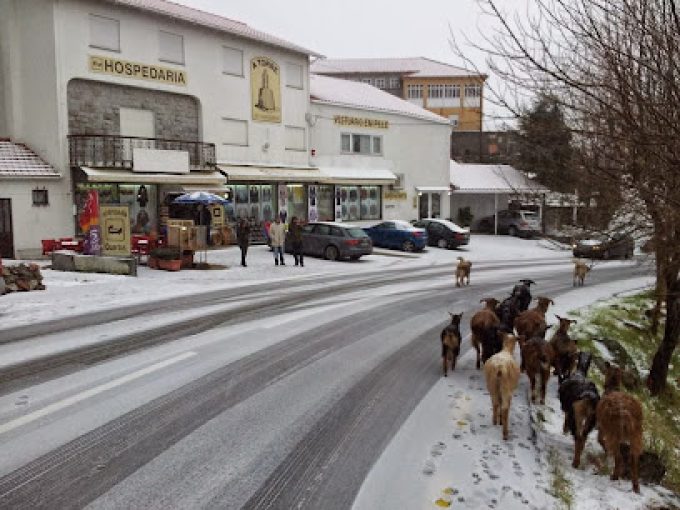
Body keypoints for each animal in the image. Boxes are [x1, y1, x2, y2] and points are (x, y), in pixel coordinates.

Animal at [596, 360, 644, 492]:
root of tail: (626, 413)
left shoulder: (603, 427)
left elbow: (599, 439)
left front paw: (606, 451)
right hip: (637, 434)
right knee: (633, 460)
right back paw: (636, 487)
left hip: (614, 433)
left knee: (619, 457)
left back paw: (614, 476)